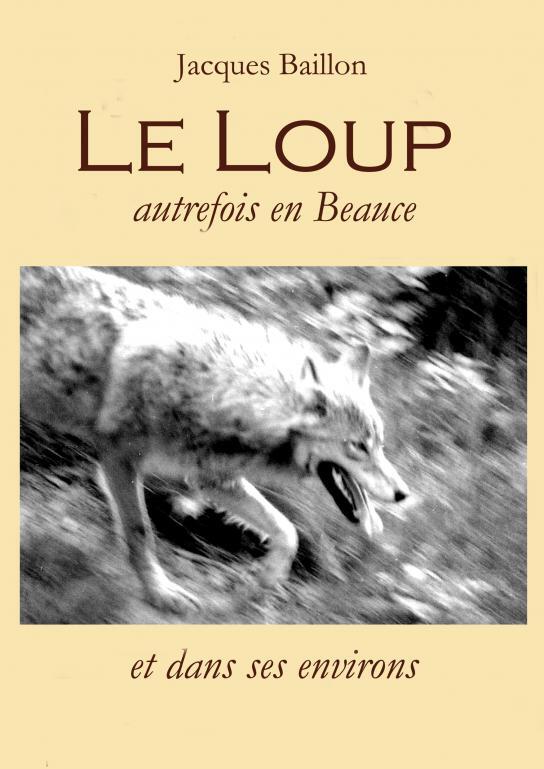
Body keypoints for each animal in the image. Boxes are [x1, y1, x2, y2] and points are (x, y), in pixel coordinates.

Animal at [20, 267, 409, 613]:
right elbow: (141, 532)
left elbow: (287, 532)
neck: (216, 387)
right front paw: (161, 593)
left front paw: (265, 581)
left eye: (380, 444)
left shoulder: (209, 478)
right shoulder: (119, 459)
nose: (403, 494)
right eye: (358, 446)